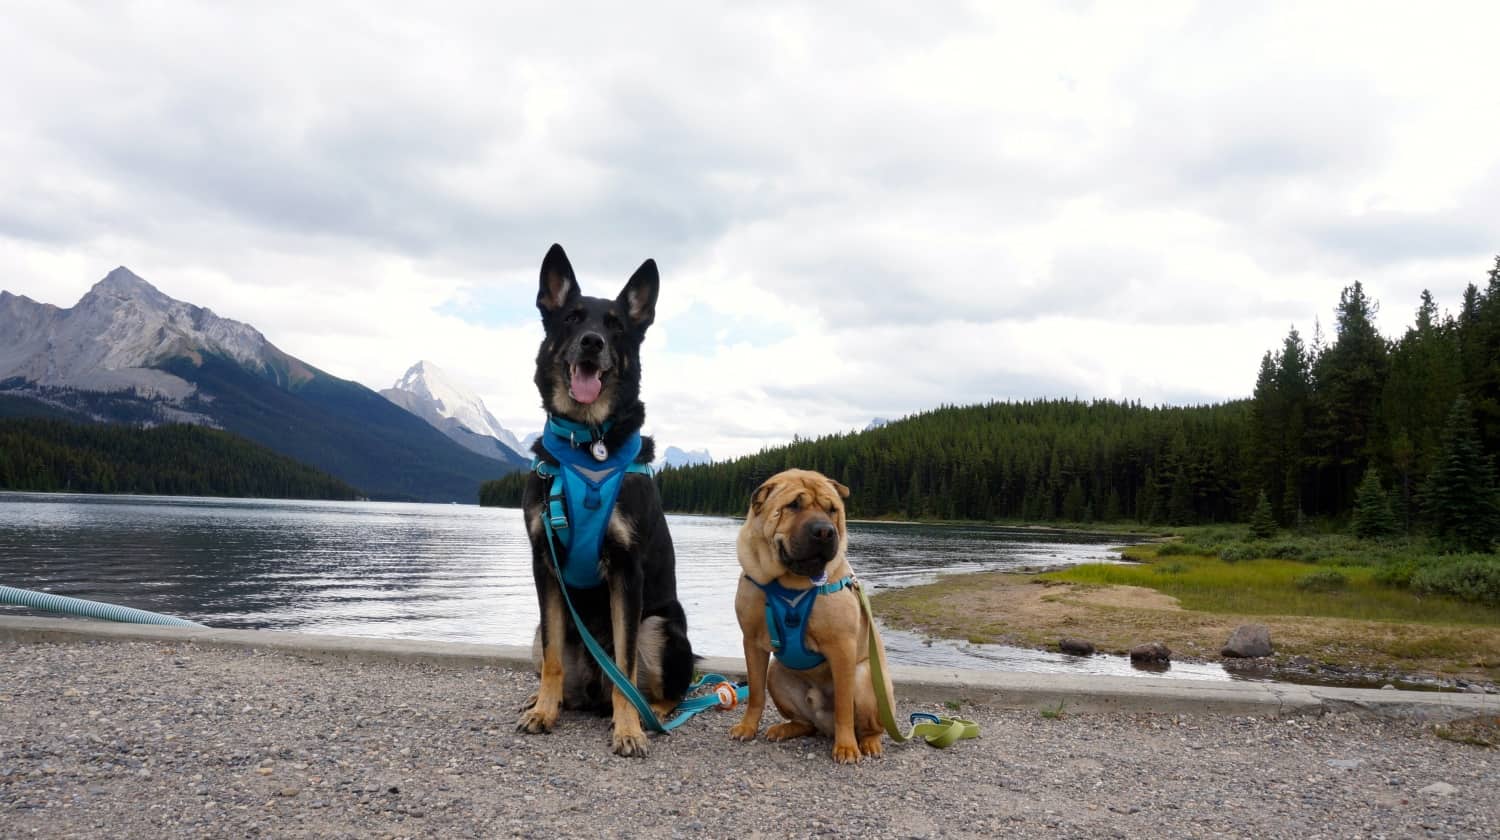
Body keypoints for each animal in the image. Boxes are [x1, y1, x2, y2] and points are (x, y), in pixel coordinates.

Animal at [519, 244, 693, 762]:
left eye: (616, 325)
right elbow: (553, 657)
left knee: (659, 687)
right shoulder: (544, 563)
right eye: (572, 318)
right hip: (538, 632)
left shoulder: (626, 569)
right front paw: (544, 711)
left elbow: (626, 665)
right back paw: (545, 700)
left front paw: (629, 729)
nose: (592, 342)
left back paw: (651, 714)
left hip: (664, 627)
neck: (587, 440)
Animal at [726, 468, 888, 765]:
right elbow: (755, 692)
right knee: (806, 723)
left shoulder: (842, 648)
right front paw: (747, 727)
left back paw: (869, 743)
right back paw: (785, 729)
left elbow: (844, 707)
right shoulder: (752, 642)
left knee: (869, 726)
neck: (791, 583)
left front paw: (846, 748)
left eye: (832, 509)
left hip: (865, 678)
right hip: (776, 675)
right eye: (793, 505)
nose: (824, 531)